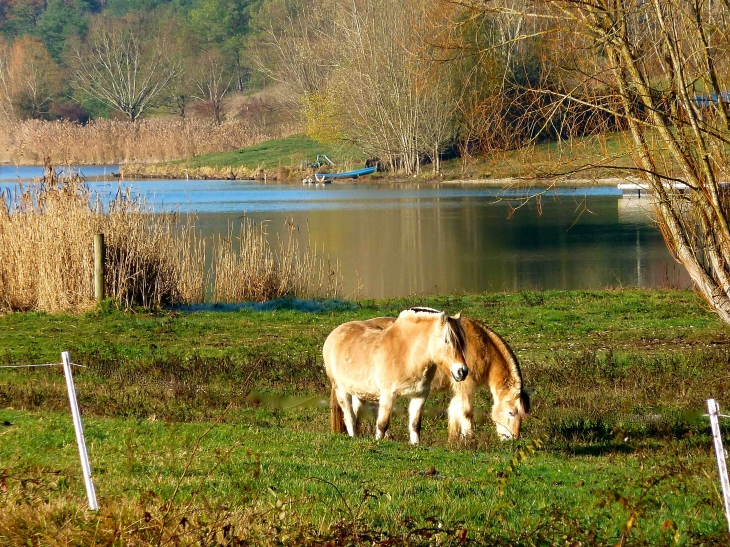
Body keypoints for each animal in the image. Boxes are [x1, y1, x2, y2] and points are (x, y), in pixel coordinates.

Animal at [322, 308, 466, 446]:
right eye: (446, 340)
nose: (462, 371)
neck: (406, 353)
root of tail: (336, 332)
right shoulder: (387, 395)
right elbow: (382, 425)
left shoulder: (419, 396)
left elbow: (415, 425)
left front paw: (415, 444)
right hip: (341, 390)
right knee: (350, 417)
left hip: (360, 393)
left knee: (355, 416)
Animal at [362, 316, 528, 440]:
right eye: (511, 412)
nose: (513, 438)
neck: (483, 345)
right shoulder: (466, 385)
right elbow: (466, 412)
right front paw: (470, 439)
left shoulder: (458, 389)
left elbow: (454, 411)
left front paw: (455, 440)